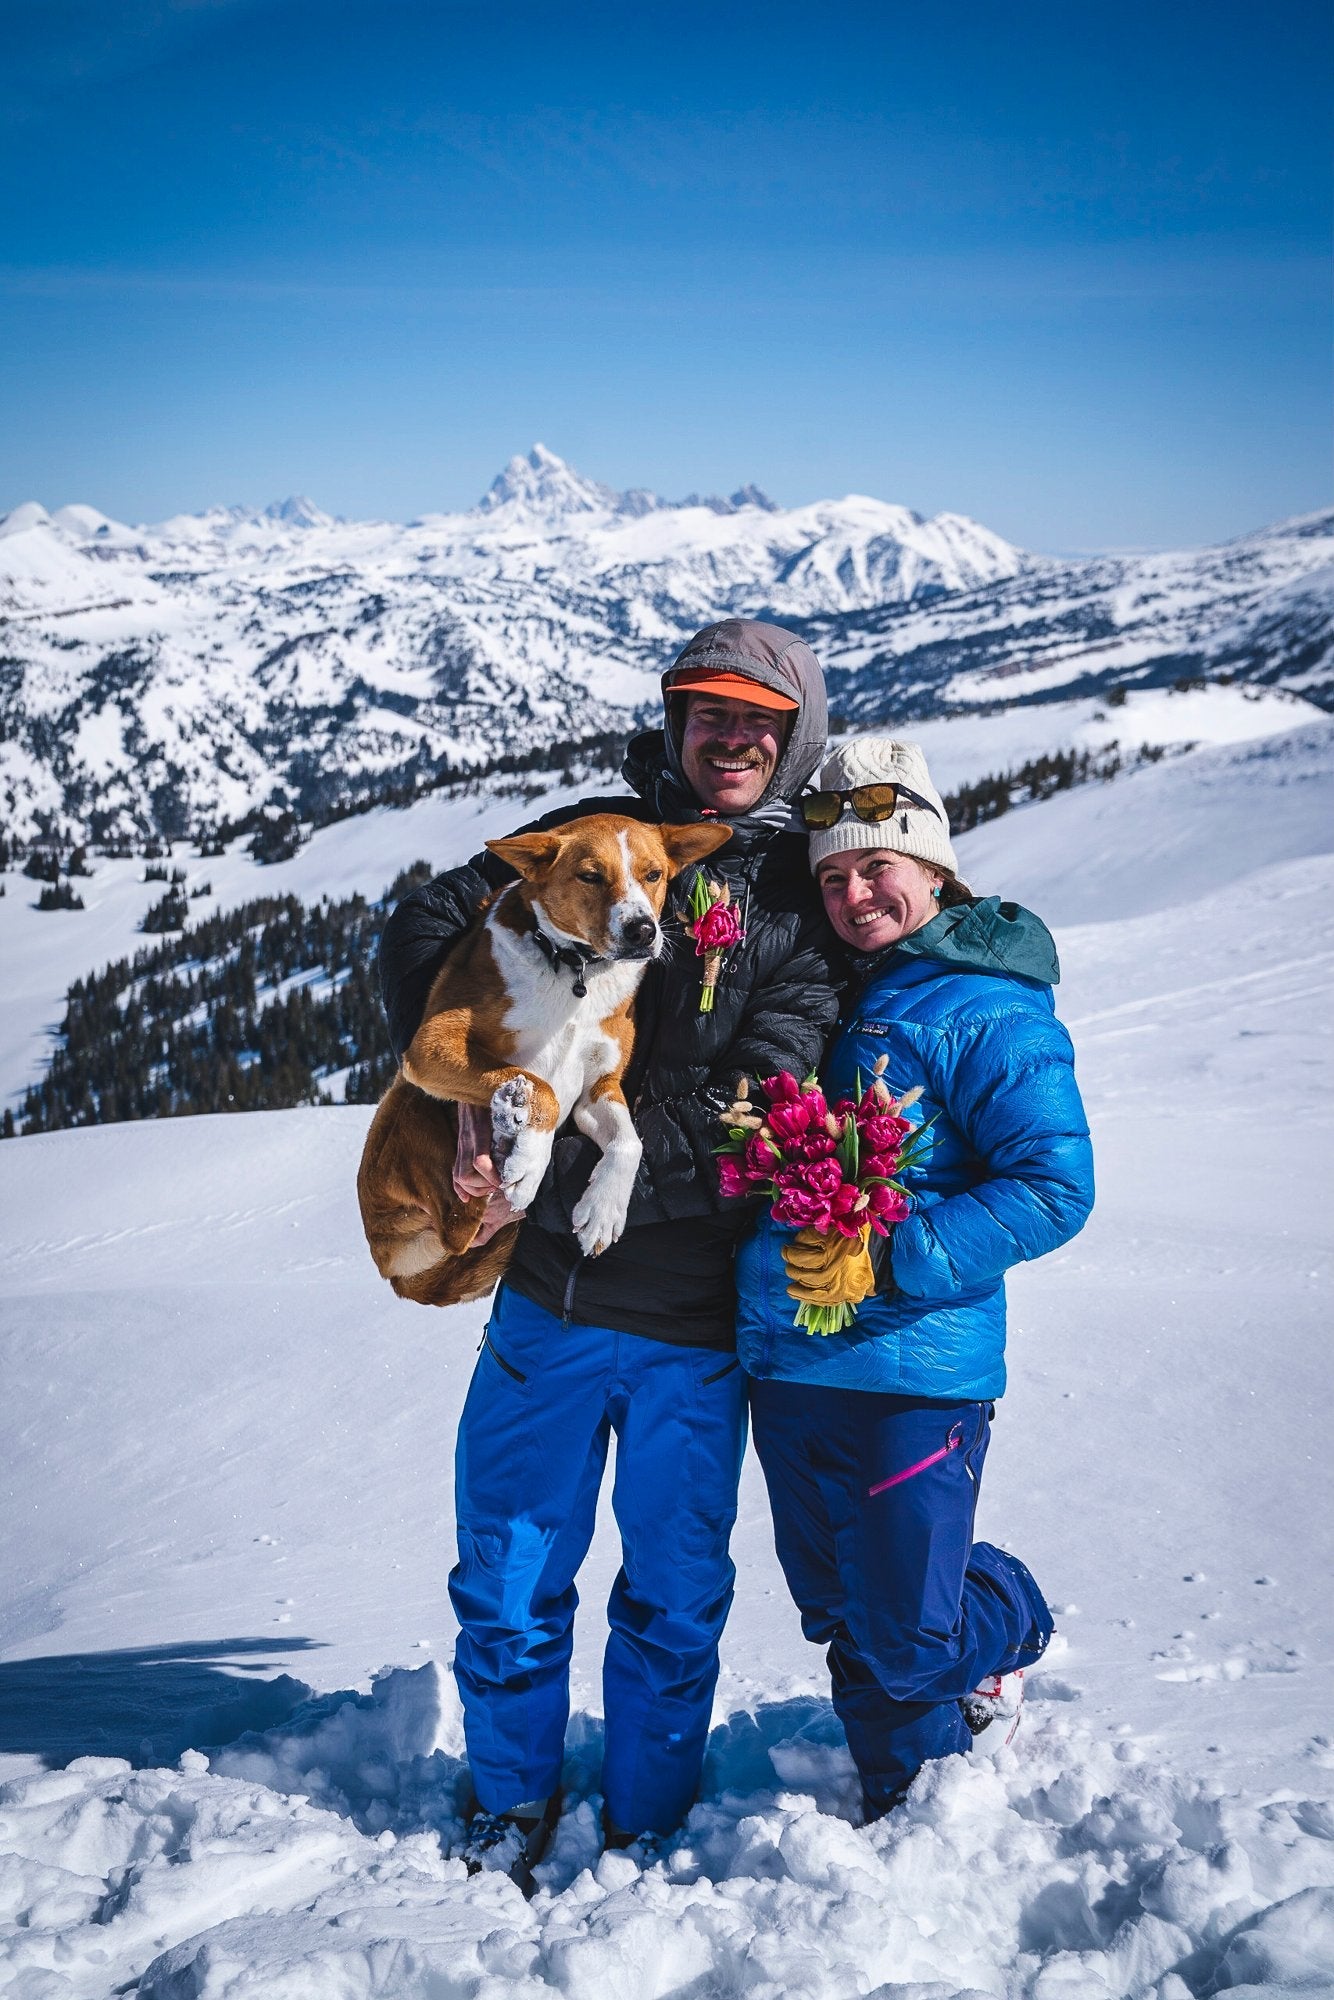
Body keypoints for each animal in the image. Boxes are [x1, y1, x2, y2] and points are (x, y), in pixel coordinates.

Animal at [354, 812, 732, 1312]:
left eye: (653, 875)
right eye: (590, 876)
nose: (642, 932)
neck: (576, 971)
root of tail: (393, 1267)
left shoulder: (599, 1087)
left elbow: (629, 1141)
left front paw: (603, 1209)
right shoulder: (432, 1045)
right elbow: (544, 1089)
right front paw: (530, 1162)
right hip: (407, 1103)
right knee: (459, 1226)